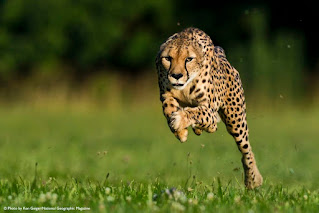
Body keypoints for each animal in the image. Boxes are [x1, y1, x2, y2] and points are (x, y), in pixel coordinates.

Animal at [156, 27, 264, 189]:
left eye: (189, 59)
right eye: (168, 58)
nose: (176, 75)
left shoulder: (210, 110)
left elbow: (197, 113)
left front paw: (180, 120)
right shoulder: (166, 95)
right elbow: (168, 108)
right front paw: (180, 131)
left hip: (235, 121)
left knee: (246, 149)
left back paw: (253, 180)